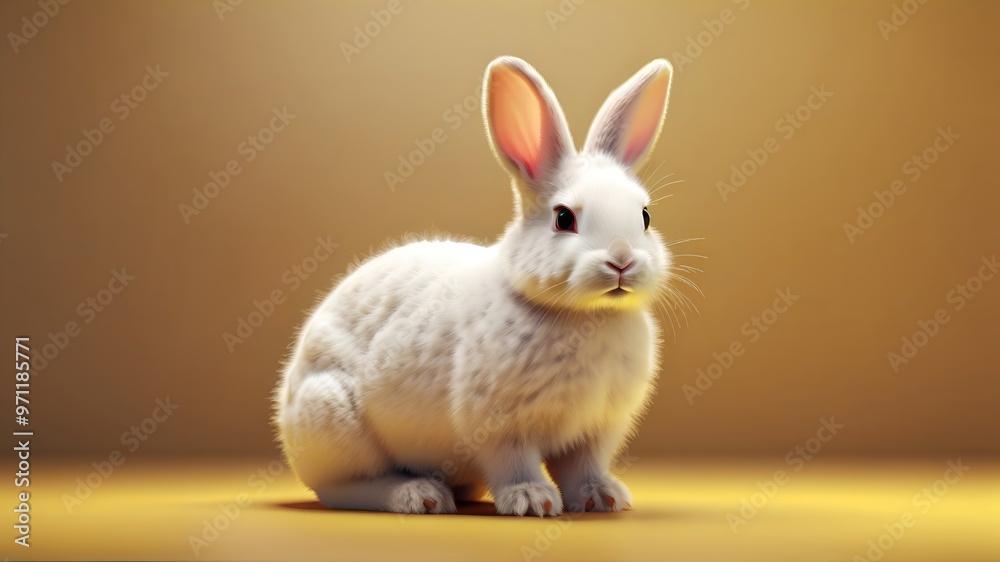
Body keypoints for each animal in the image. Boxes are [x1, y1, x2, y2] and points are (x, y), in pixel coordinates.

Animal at [274, 55, 677, 517]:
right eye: (563, 218)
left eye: (644, 216)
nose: (622, 261)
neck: (586, 316)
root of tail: (286, 412)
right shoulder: (498, 425)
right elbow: (514, 464)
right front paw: (532, 500)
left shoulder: (594, 429)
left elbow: (583, 467)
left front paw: (604, 497)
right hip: (334, 420)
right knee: (343, 489)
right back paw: (420, 495)